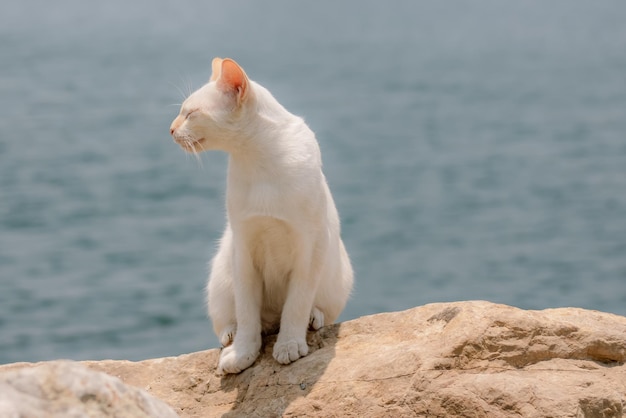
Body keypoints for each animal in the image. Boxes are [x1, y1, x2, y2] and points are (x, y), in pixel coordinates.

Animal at [168, 57, 354, 374]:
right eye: (182, 112)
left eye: (190, 114)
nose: (170, 129)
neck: (257, 159)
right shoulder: (243, 247)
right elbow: (246, 314)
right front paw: (243, 354)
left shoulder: (310, 247)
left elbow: (296, 304)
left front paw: (289, 346)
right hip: (222, 274)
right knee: (240, 318)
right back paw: (230, 334)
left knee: (309, 310)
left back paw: (313, 318)